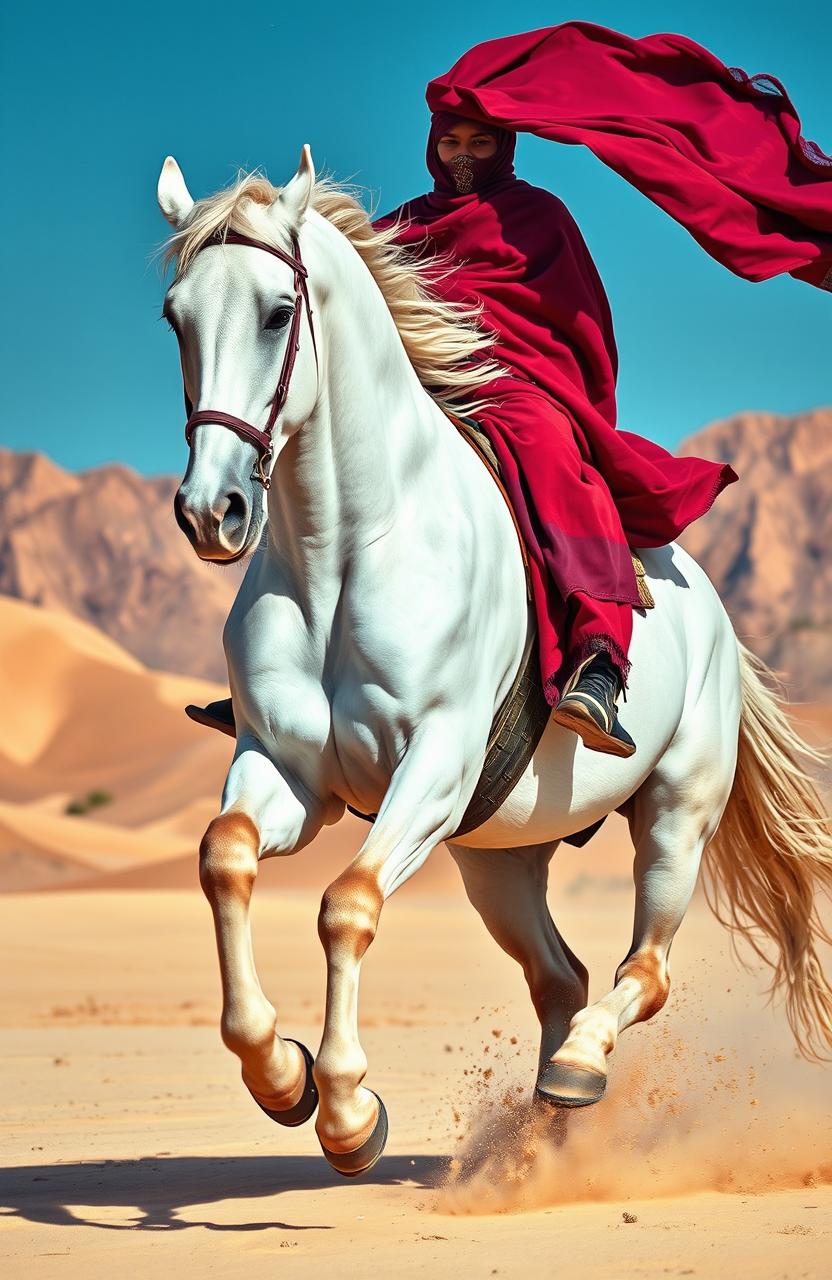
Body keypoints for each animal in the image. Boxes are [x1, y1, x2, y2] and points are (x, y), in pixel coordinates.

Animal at [157, 145, 829, 1172]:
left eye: (277, 312)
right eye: (175, 316)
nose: (211, 511)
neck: (344, 553)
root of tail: (715, 619)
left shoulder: (432, 766)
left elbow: (347, 904)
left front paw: (347, 1110)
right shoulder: (287, 769)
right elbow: (224, 857)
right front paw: (279, 1072)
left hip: (675, 813)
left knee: (645, 970)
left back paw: (580, 1069)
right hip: (499, 856)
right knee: (562, 975)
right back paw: (544, 1137)